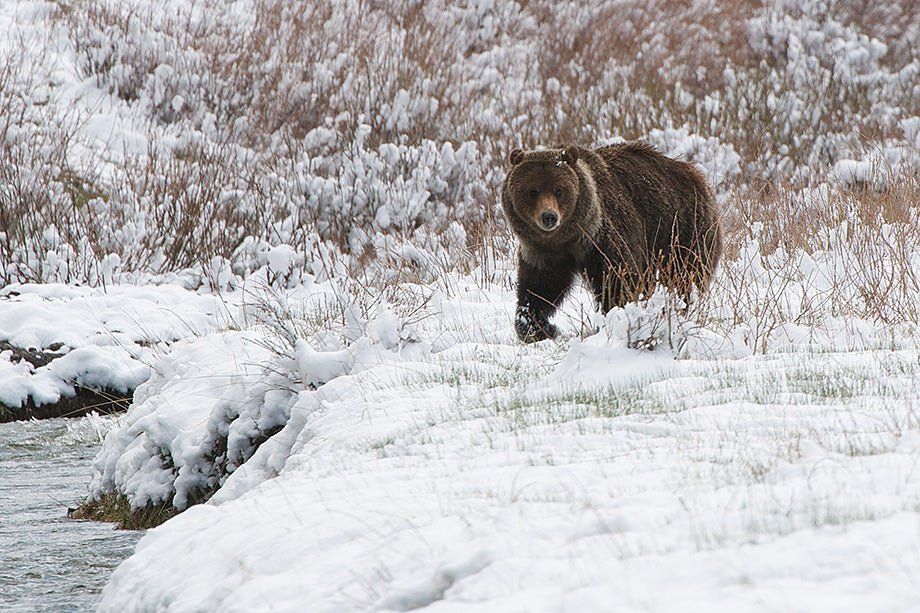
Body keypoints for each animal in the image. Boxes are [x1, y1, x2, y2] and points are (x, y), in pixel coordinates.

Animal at [501, 142, 723, 343]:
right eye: (532, 191)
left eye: (559, 190)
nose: (549, 216)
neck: (569, 237)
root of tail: (697, 175)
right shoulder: (543, 252)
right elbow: (539, 289)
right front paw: (537, 327)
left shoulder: (602, 239)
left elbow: (619, 280)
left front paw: (616, 318)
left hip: (682, 232)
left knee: (682, 278)